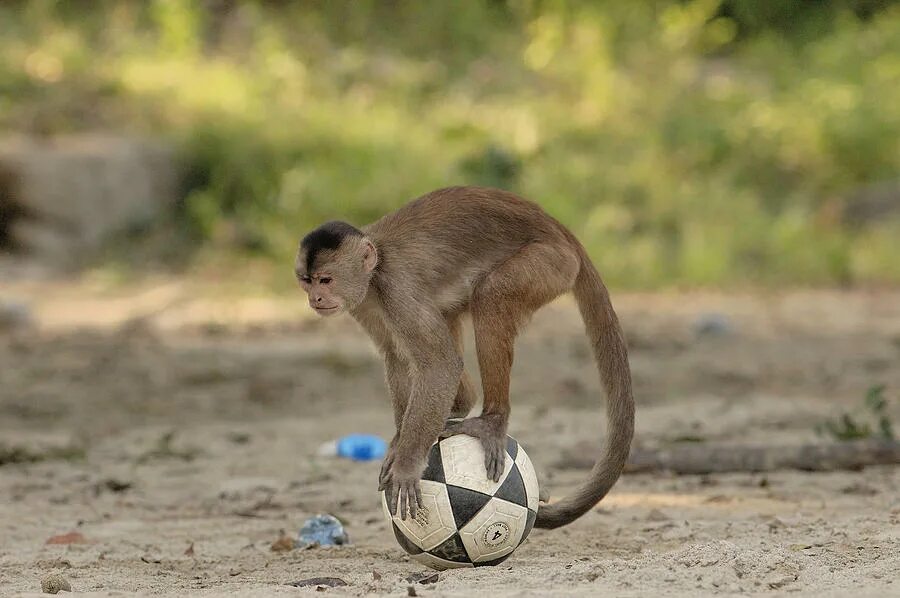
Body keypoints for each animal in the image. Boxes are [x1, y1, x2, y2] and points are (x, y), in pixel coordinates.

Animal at [295, 186, 634, 529]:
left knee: (491, 294)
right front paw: (400, 441)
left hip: (553, 262)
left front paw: (406, 462)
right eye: (307, 281)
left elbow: (439, 365)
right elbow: (397, 355)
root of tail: (556, 226)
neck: (374, 271)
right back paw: (459, 407)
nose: (316, 299)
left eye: (326, 280)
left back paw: (492, 420)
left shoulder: (395, 288)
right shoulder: (364, 302)